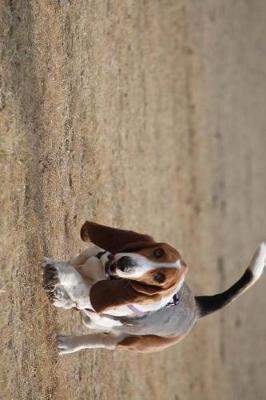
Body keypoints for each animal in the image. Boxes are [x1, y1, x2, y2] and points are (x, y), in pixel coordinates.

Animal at [42, 220, 266, 354]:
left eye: (159, 278)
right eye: (158, 252)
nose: (125, 264)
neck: (104, 273)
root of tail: (197, 307)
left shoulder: (89, 295)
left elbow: (75, 278)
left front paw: (59, 273)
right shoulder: (87, 257)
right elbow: (73, 264)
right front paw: (55, 273)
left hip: (130, 343)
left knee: (100, 340)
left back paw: (69, 343)